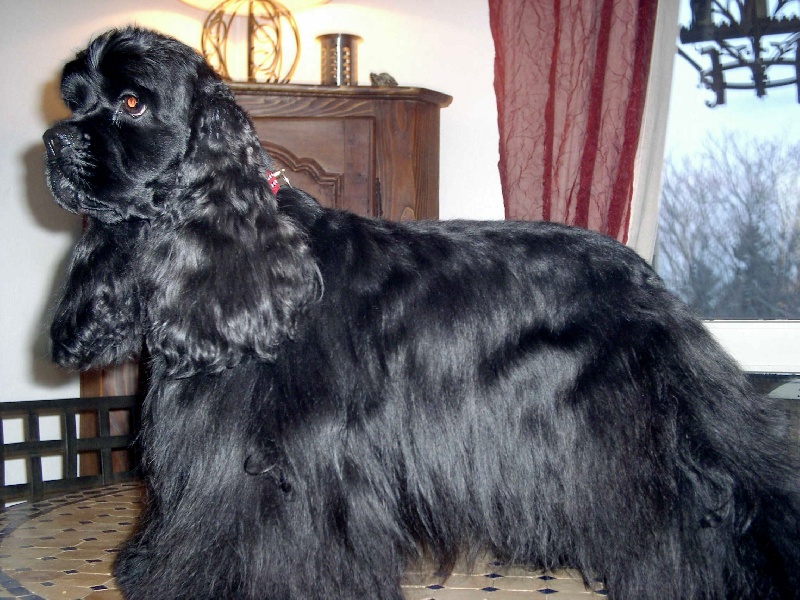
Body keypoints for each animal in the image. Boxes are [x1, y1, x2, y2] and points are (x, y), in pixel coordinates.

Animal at [43, 28, 800, 599]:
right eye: (75, 100)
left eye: (132, 101)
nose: (52, 141)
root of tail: (651, 284)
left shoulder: (283, 467)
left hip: (627, 436)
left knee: (704, 507)